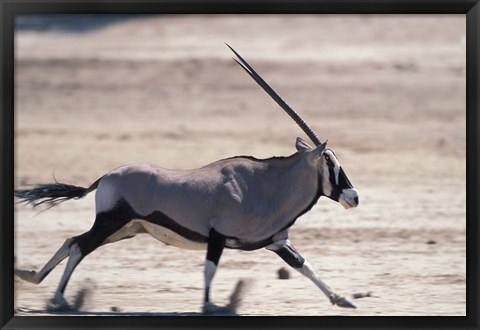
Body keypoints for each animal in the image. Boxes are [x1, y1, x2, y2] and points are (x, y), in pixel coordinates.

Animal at [14, 45, 360, 314]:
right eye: (330, 162)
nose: (354, 197)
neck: (268, 185)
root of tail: (105, 177)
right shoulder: (218, 235)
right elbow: (210, 269)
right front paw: (209, 305)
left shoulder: (278, 242)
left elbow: (304, 265)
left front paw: (342, 299)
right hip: (112, 222)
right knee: (79, 246)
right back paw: (58, 298)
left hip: (126, 229)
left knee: (72, 241)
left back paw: (33, 278)